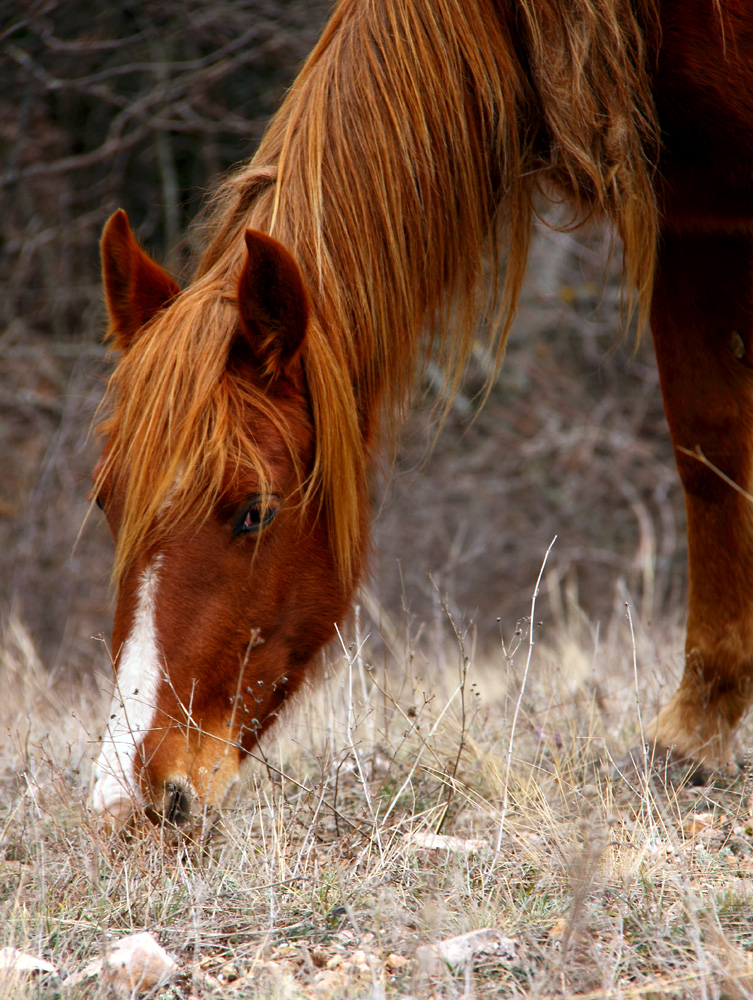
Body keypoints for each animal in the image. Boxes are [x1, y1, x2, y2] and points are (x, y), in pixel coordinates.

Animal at [91, 0, 752, 828]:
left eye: (254, 511)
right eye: (106, 503)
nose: (126, 807)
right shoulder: (690, 207)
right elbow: (708, 447)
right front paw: (693, 738)